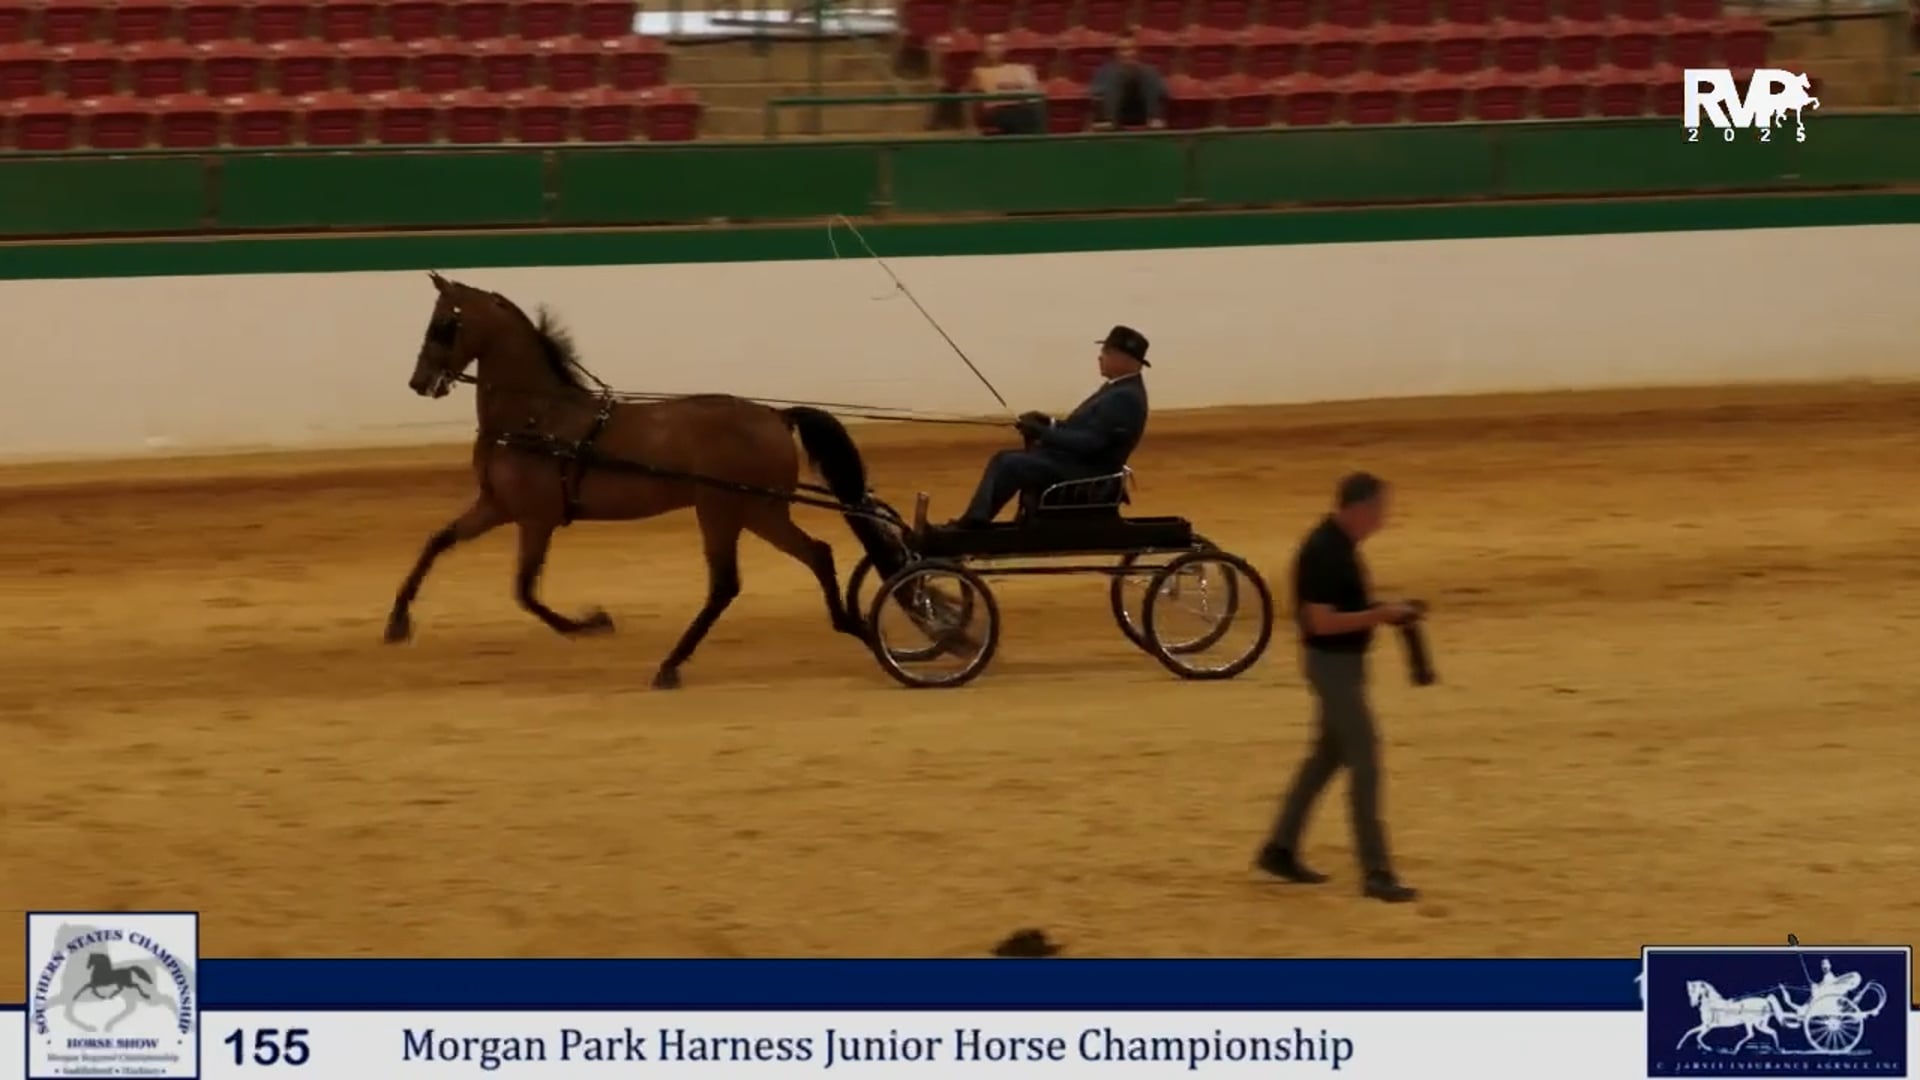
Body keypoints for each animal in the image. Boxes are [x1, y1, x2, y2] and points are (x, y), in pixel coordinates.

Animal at [384, 272, 903, 689]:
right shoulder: (497, 506)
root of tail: (774, 416)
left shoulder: (535, 519)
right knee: (816, 554)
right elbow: (437, 542)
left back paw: (671, 665)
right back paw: (852, 624)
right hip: (760, 510)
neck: (536, 417)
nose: (419, 381)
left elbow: (525, 591)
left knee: (725, 584)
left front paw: (590, 623)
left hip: (722, 510)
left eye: (444, 323)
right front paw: (396, 622)